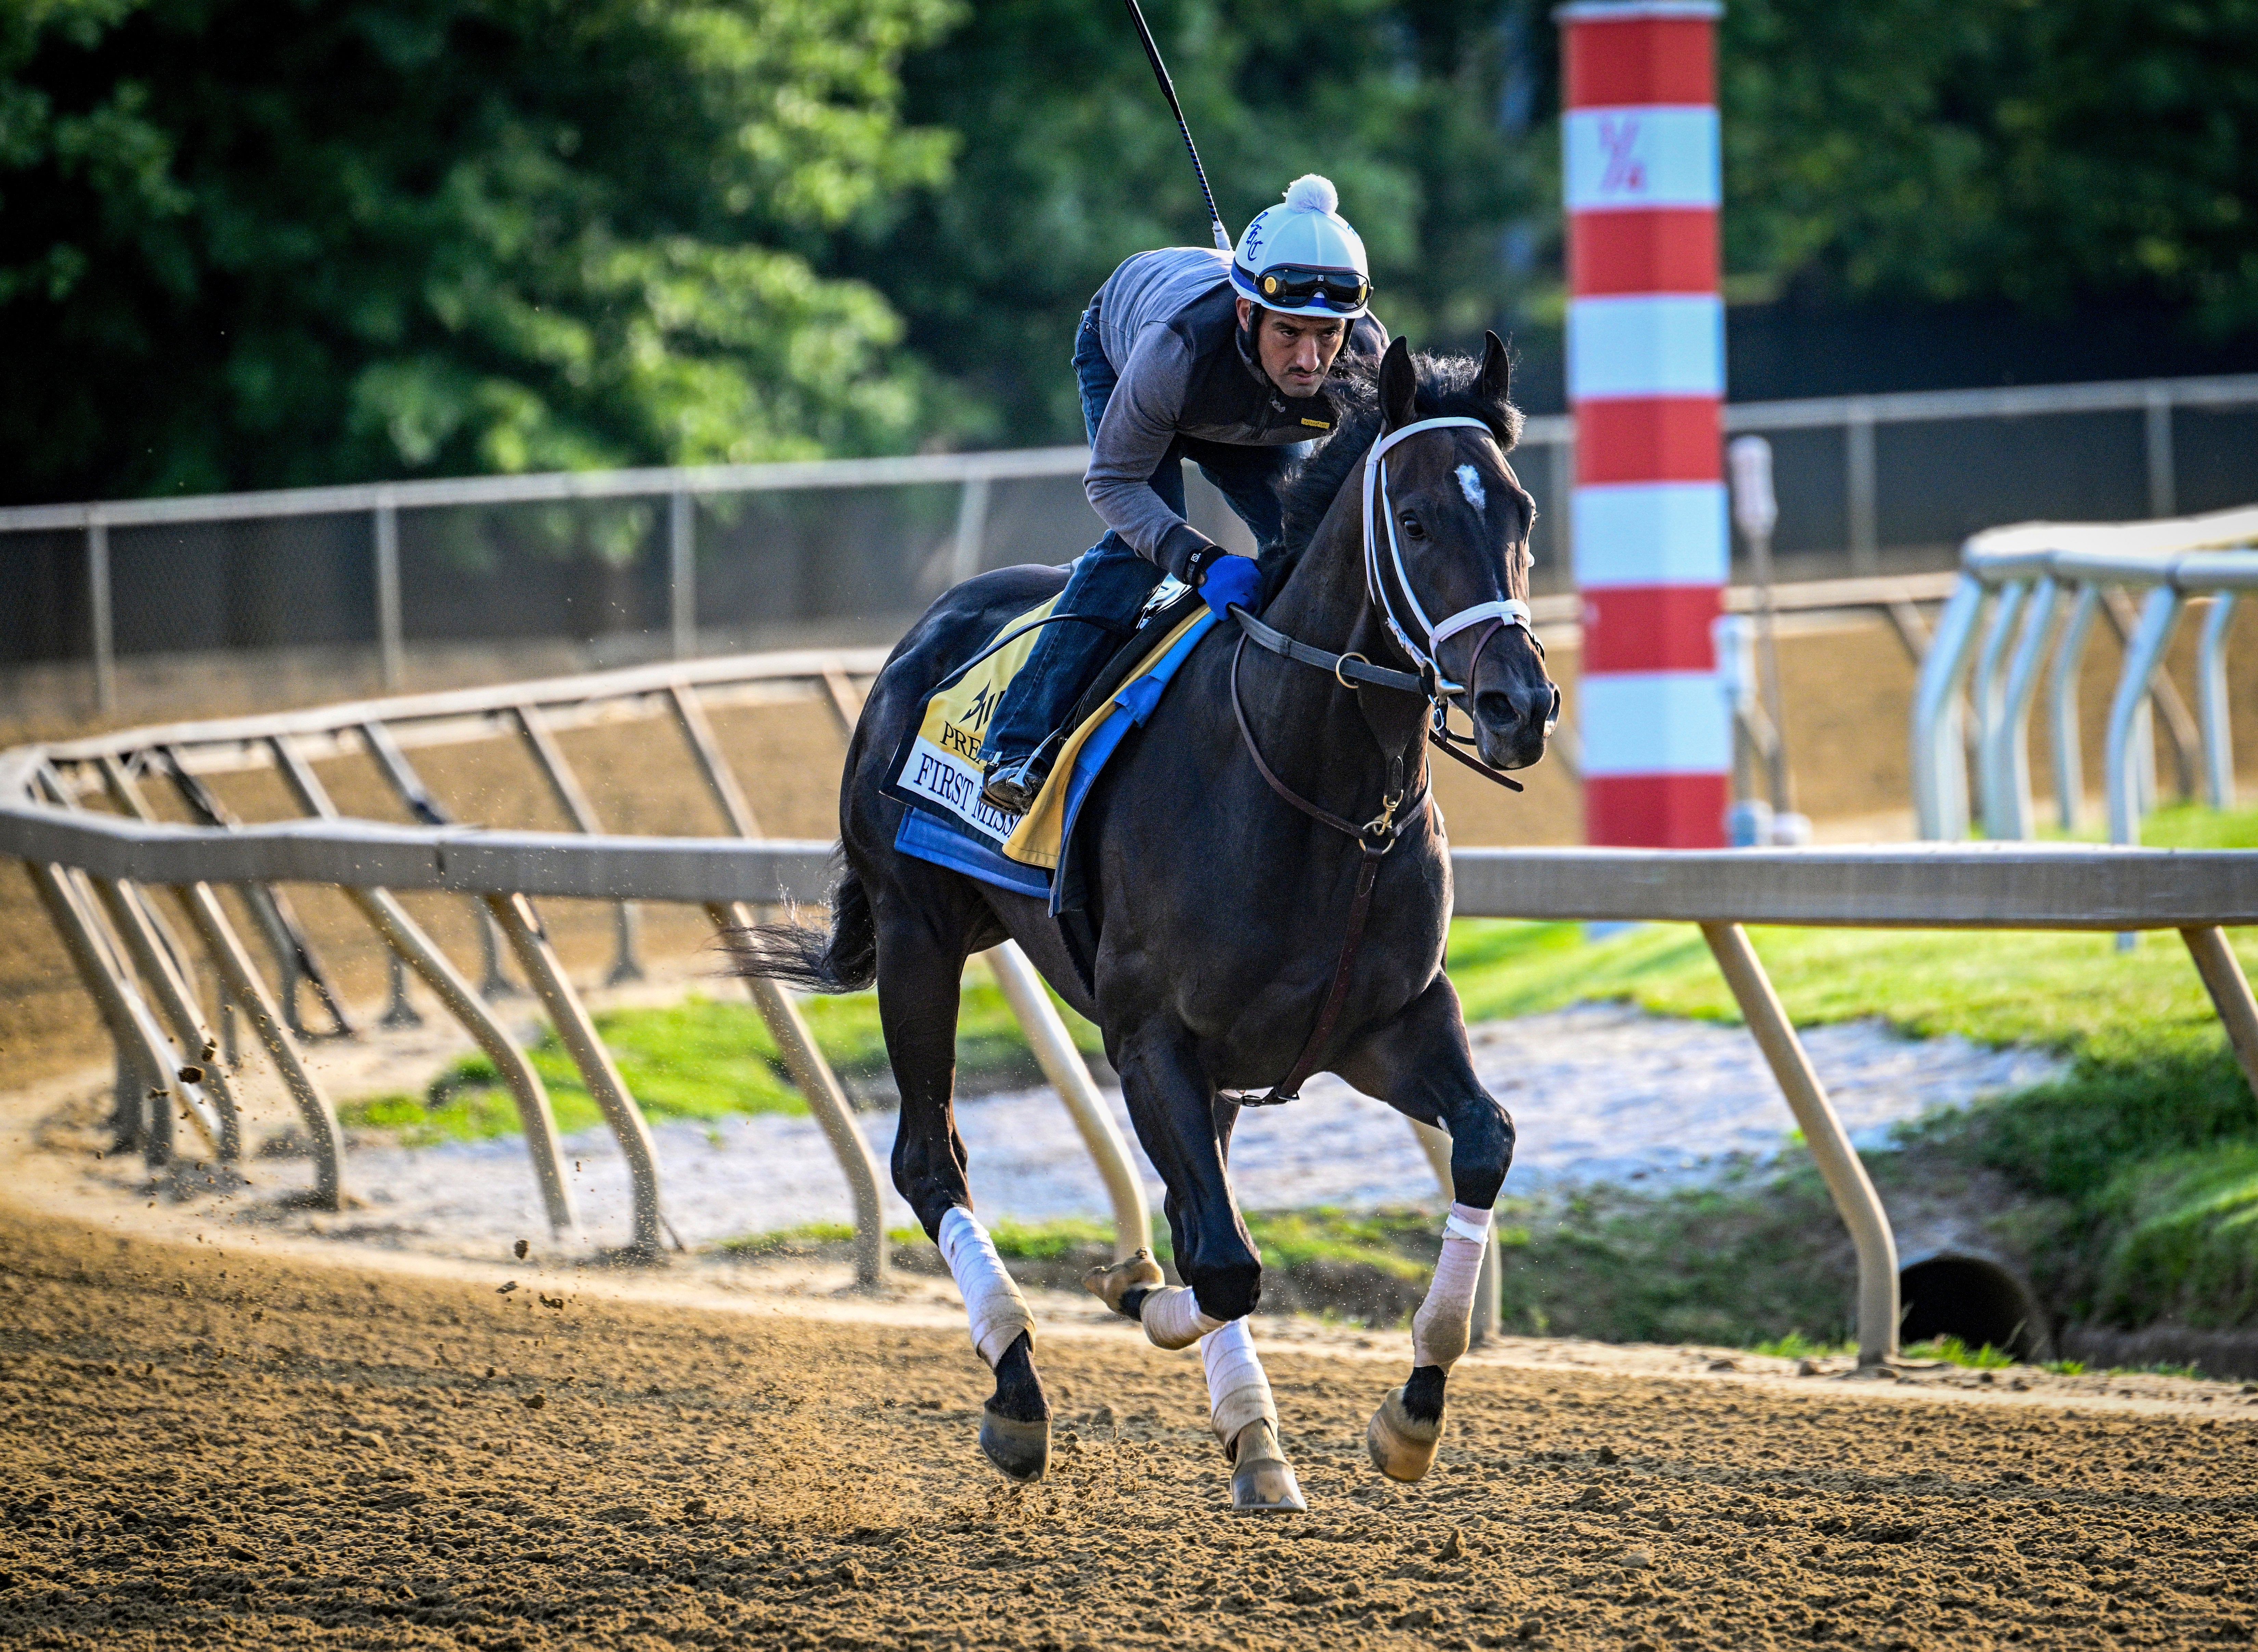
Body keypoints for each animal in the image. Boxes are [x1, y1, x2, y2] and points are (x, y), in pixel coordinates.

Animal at [730, 333, 1556, 1512]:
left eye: (1522, 511)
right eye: (1415, 520)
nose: (1517, 705)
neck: (1320, 792)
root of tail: (922, 633)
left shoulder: (1386, 1021)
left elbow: (1483, 1142)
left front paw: (1408, 1414)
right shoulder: (1151, 1036)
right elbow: (1220, 1258)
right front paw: (1136, 1299)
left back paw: (1252, 1437)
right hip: (916, 932)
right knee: (929, 1161)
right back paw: (1019, 1395)